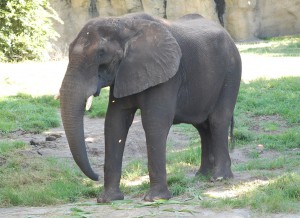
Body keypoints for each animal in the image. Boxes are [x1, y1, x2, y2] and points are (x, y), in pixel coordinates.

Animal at [60, 12, 241, 203]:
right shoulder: (123, 73)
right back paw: (202, 176)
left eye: (101, 53)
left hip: (231, 70)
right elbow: (115, 122)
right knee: (202, 127)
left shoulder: (168, 75)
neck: (124, 23)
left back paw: (219, 178)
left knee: (217, 121)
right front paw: (108, 199)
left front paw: (155, 199)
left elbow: (154, 122)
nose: (95, 177)